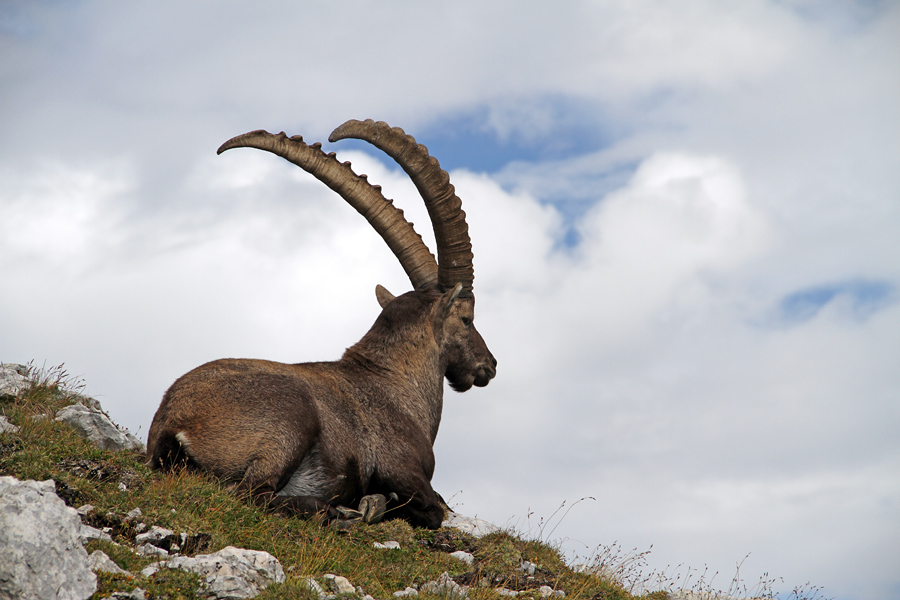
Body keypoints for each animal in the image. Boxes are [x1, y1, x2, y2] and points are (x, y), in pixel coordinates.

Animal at [146, 119, 497, 529]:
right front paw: (376, 502)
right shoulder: (405, 471)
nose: (488, 365)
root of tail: (176, 422)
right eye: (467, 318)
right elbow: (431, 510)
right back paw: (341, 510)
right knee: (250, 494)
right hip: (290, 423)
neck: (395, 384)